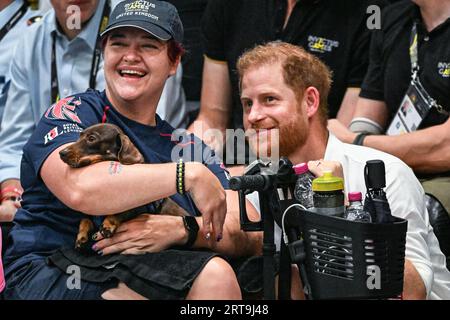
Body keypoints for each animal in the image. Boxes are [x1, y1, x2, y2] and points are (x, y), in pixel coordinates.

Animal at [58, 124, 188, 249]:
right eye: (79, 136)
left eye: (91, 138)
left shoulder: (137, 206)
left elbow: (120, 212)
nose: (61, 153)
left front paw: (107, 225)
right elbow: (85, 220)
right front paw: (82, 236)